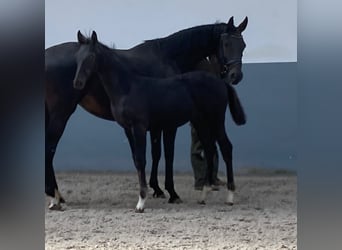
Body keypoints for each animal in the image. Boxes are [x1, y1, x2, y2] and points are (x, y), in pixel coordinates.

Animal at [46, 16, 248, 210]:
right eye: (226, 44)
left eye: (243, 45)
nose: (235, 76)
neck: (169, 56)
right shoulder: (164, 125)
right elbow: (164, 155)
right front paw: (169, 192)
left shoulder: (155, 124)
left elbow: (155, 154)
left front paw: (157, 189)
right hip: (60, 114)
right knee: (50, 149)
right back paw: (54, 197)